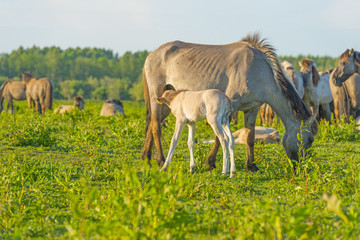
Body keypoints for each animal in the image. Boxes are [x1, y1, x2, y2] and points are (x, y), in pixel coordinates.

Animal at [142, 34, 316, 172]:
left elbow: (250, 137)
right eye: (310, 140)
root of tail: (152, 54)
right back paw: (161, 160)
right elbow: (220, 138)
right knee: (156, 126)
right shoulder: (229, 107)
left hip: (167, 102)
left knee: (151, 124)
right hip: (157, 98)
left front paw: (251, 166)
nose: (302, 167)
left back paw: (146, 157)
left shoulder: (252, 109)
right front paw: (210, 163)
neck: (258, 70)